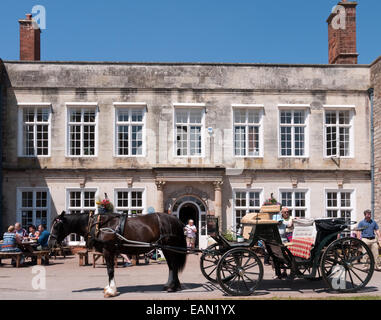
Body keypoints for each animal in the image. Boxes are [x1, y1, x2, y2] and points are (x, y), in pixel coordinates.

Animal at [47, 211, 187, 298]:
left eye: (57, 226)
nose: (50, 242)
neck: (99, 226)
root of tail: (174, 219)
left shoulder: (108, 251)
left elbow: (110, 270)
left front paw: (111, 291)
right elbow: (110, 270)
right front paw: (109, 288)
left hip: (168, 248)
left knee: (173, 266)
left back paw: (173, 287)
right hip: (166, 248)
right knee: (171, 266)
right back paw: (171, 285)